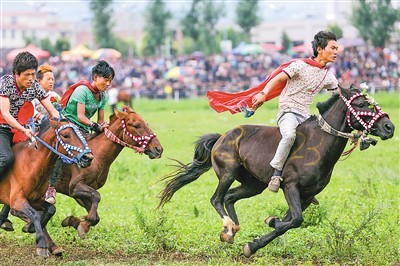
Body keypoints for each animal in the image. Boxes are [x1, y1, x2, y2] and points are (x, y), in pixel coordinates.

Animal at [0, 117, 93, 256]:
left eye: (81, 133)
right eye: (66, 135)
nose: (88, 158)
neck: (31, 163)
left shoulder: (35, 199)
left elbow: (50, 210)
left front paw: (31, 228)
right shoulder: (17, 200)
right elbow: (34, 214)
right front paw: (41, 245)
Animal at [18, 106, 162, 239]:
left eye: (146, 123)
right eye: (137, 125)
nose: (158, 149)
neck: (98, 157)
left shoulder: (82, 193)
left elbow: (96, 214)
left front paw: (75, 222)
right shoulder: (75, 187)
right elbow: (97, 197)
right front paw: (82, 224)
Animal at [158, 85, 396, 258]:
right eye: (362, 103)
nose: (389, 127)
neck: (318, 143)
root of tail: (221, 136)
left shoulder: (308, 195)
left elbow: (289, 222)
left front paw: (256, 241)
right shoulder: (290, 186)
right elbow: (294, 220)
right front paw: (269, 223)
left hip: (254, 184)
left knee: (230, 197)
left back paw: (232, 230)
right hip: (228, 172)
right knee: (217, 198)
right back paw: (228, 227)